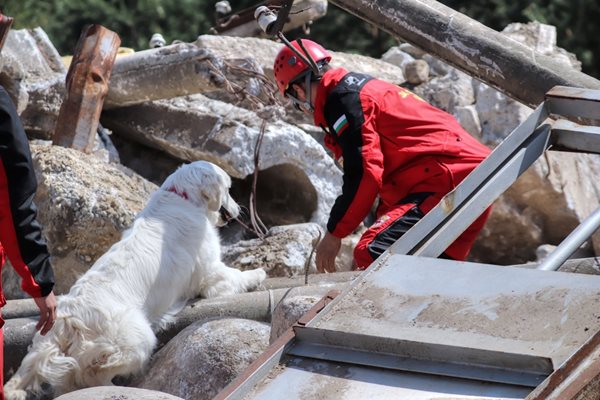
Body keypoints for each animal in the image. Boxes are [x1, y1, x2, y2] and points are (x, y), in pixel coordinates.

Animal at [4, 160, 266, 400]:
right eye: (228, 189)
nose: (238, 208)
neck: (182, 198)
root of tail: (68, 320)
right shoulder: (210, 272)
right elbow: (234, 276)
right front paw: (258, 273)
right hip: (139, 338)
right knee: (93, 375)